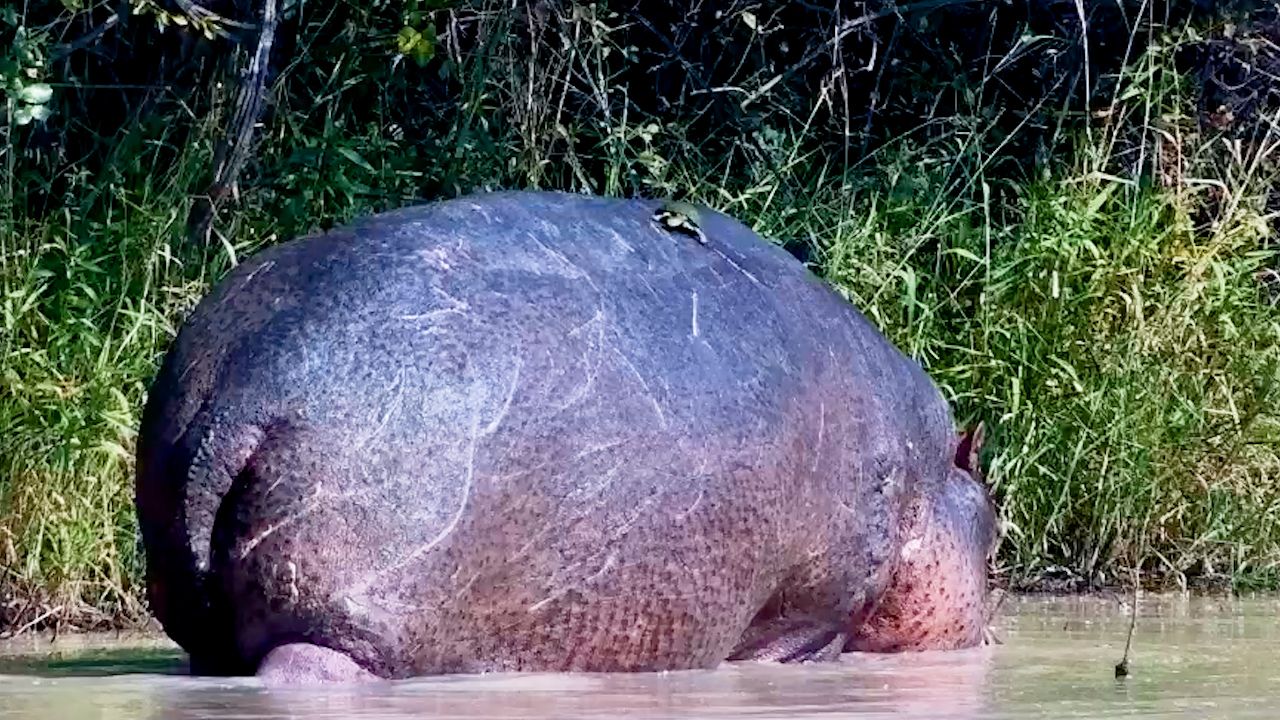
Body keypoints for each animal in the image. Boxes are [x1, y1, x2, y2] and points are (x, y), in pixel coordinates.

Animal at [135, 191, 996, 684]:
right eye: (996, 525)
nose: (993, 636)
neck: (926, 485)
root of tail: (236, 397)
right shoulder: (806, 622)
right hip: (338, 628)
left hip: (200, 621)